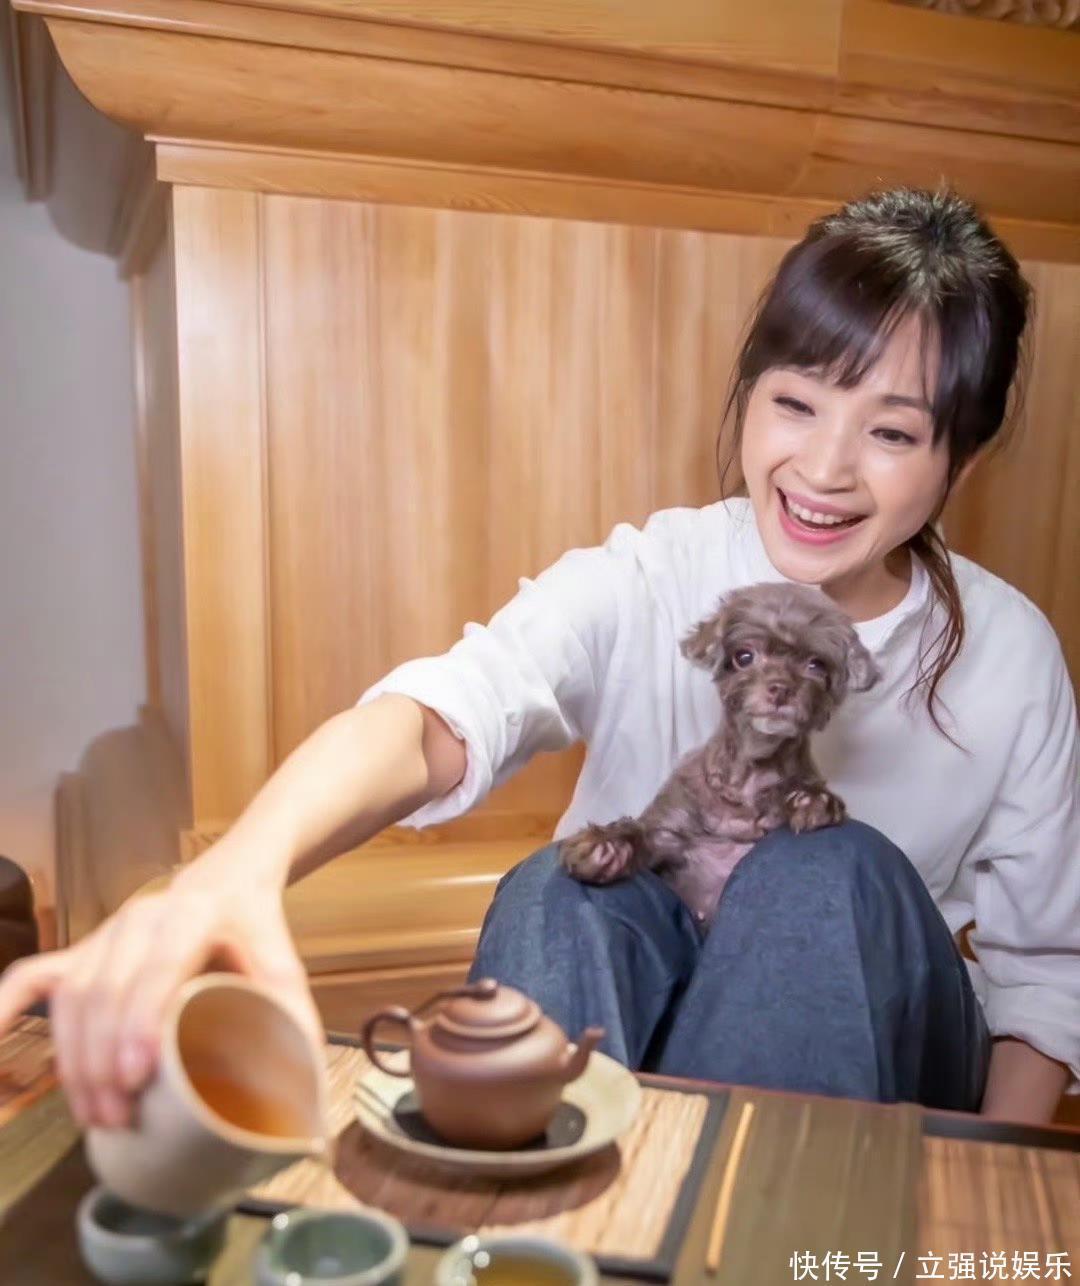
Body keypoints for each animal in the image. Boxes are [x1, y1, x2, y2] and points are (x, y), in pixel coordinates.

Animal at [558, 582, 880, 927]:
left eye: (816, 665)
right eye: (744, 657)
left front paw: (812, 800)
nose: (781, 688)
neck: (751, 772)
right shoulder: (669, 836)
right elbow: (642, 833)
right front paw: (606, 843)